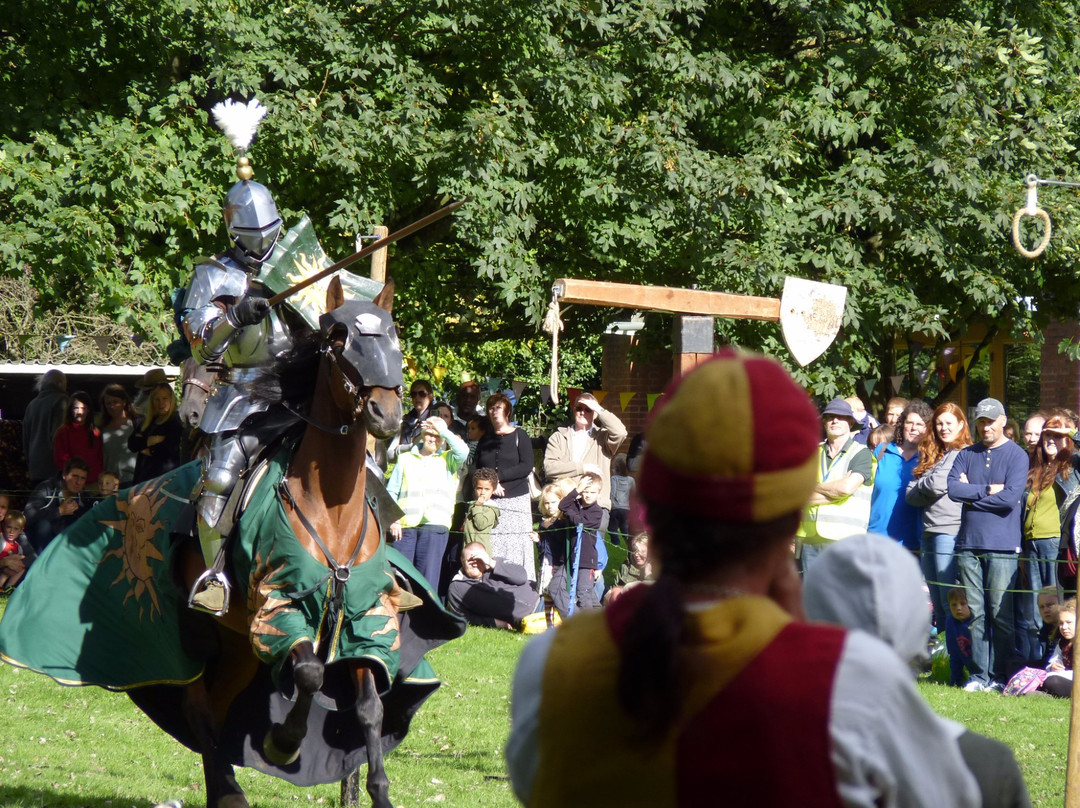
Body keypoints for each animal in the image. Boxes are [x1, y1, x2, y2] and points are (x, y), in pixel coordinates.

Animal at [174, 278, 414, 808]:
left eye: (391, 334)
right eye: (340, 340)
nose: (386, 414)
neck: (331, 512)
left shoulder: (366, 616)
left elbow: (370, 707)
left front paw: (380, 792)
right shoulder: (280, 604)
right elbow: (309, 675)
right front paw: (282, 743)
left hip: (238, 646)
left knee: (216, 706)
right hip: (207, 629)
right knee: (197, 703)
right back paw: (228, 790)